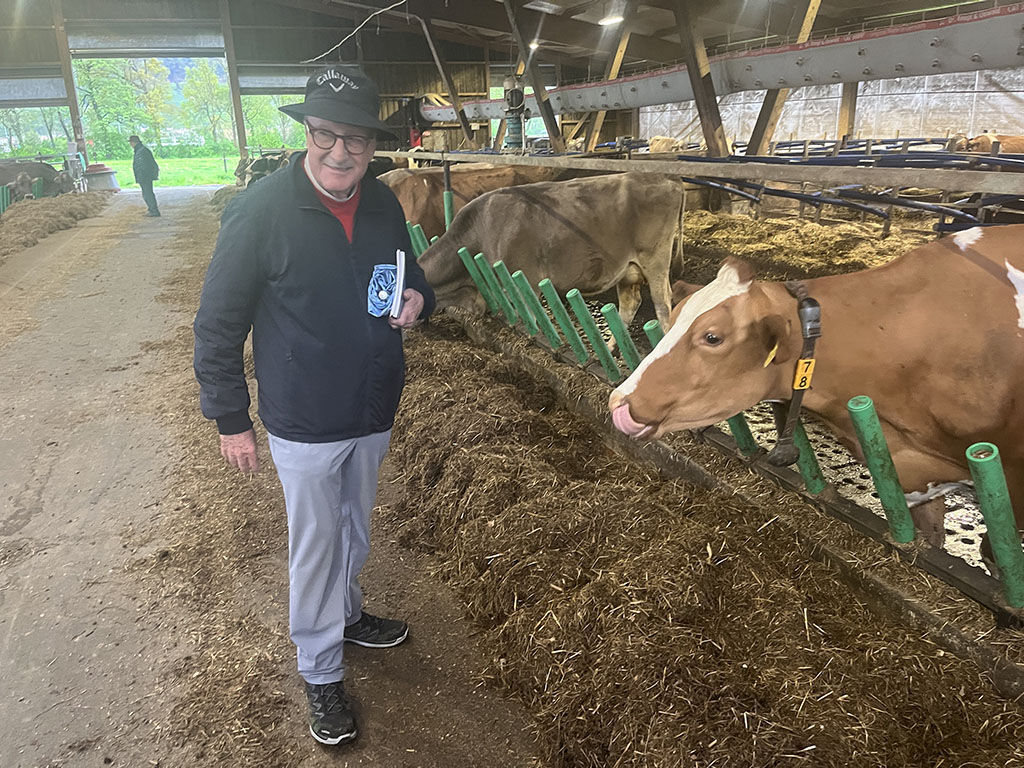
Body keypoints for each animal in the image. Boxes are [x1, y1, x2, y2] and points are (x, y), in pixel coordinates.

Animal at [418, 172, 689, 333]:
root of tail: (667, 178)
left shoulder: (526, 282)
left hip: (655, 260)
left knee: (663, 306)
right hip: (627, 271)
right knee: (629, 305)